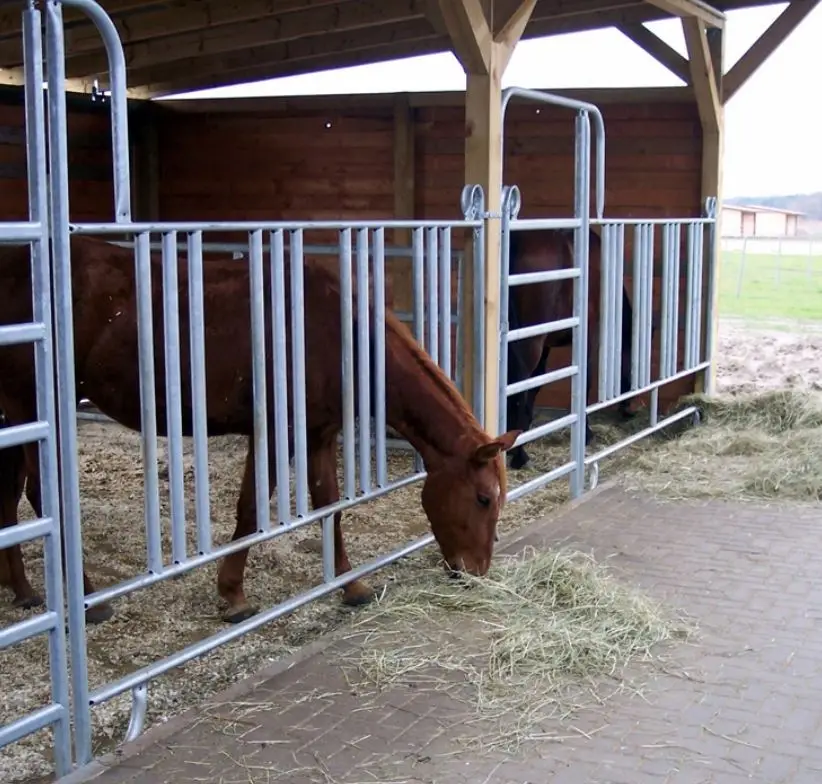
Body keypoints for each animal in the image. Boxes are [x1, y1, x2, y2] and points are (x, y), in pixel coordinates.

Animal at [0, 235, 520, 624]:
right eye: (483, 499)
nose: (475, 573)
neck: (329, 330)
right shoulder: (275, 431)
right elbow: (251, 509)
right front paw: (234, 596)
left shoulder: (319, 434)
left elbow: (330, 505)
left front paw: (352, 586)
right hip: (30, 407)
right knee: (39, 495)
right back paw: (87, 601)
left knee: (12, 495)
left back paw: (23, 589)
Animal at [504, 228, 655, 471]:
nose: (631, 409)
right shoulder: (588, 335)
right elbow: (585, 380)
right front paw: (586, 433)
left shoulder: (547, 344)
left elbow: (537, 385)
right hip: (529, 344)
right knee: (518, 386)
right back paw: (520, 454)